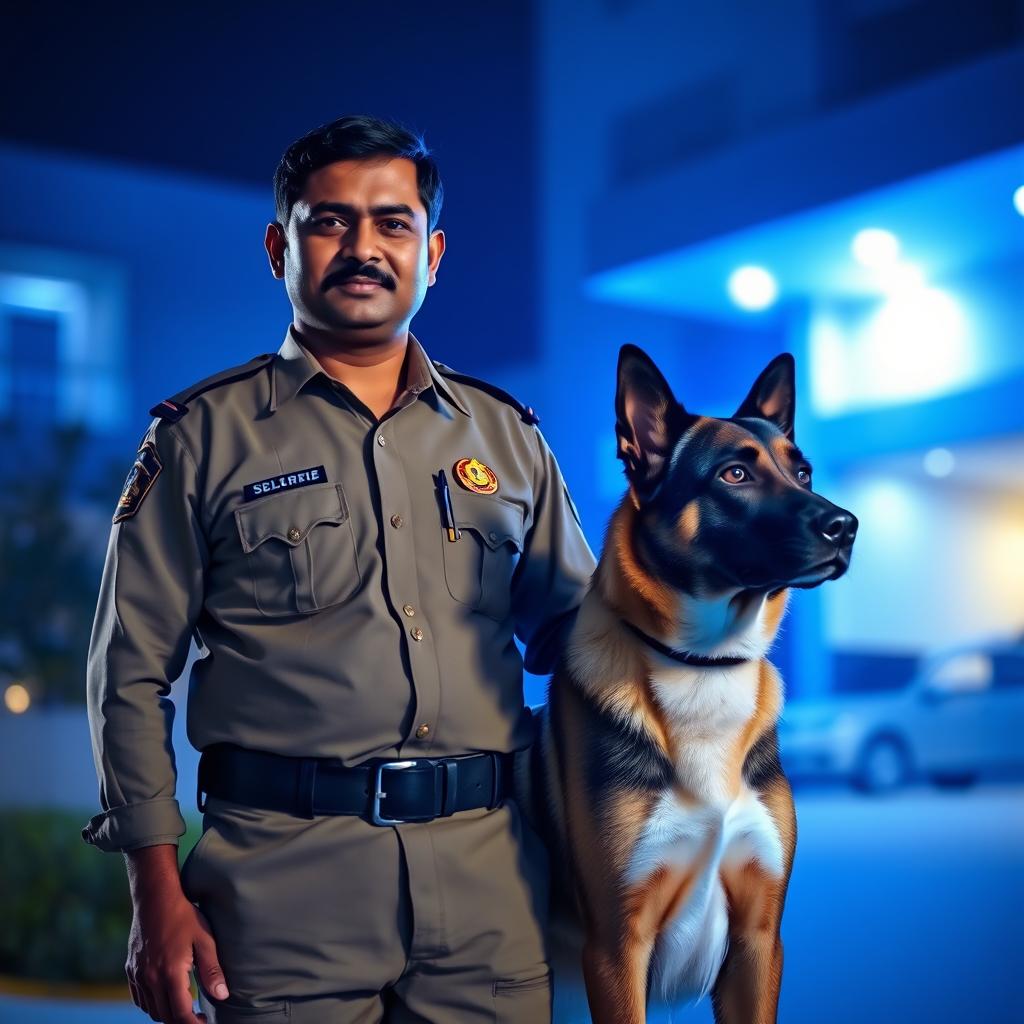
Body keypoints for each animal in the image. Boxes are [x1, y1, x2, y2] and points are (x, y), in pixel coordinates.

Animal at [536, 346, 856, 1024]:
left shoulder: (759, 941)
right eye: (734, 475)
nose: (847, 526)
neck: (705, 664)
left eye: (804, 473)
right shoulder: (617, 949)